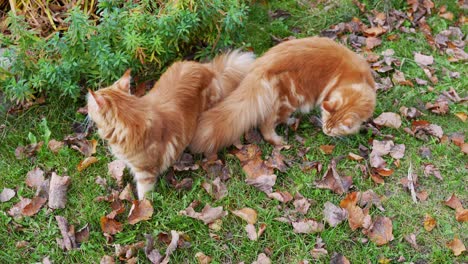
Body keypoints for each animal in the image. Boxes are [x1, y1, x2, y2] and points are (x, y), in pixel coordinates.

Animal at [88, 50, 256, 199]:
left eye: (88, 105)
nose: (86, 110)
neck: (132, 117)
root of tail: (209, 69)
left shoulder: (145, 174)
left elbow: (143, 197)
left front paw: (141, 210)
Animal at [190, 36, 376, 158]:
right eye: (328, 127)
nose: (325, 131)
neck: (356, 81)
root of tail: (260, 67)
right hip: (291, 99)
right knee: (266, 125)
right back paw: (279, 139)